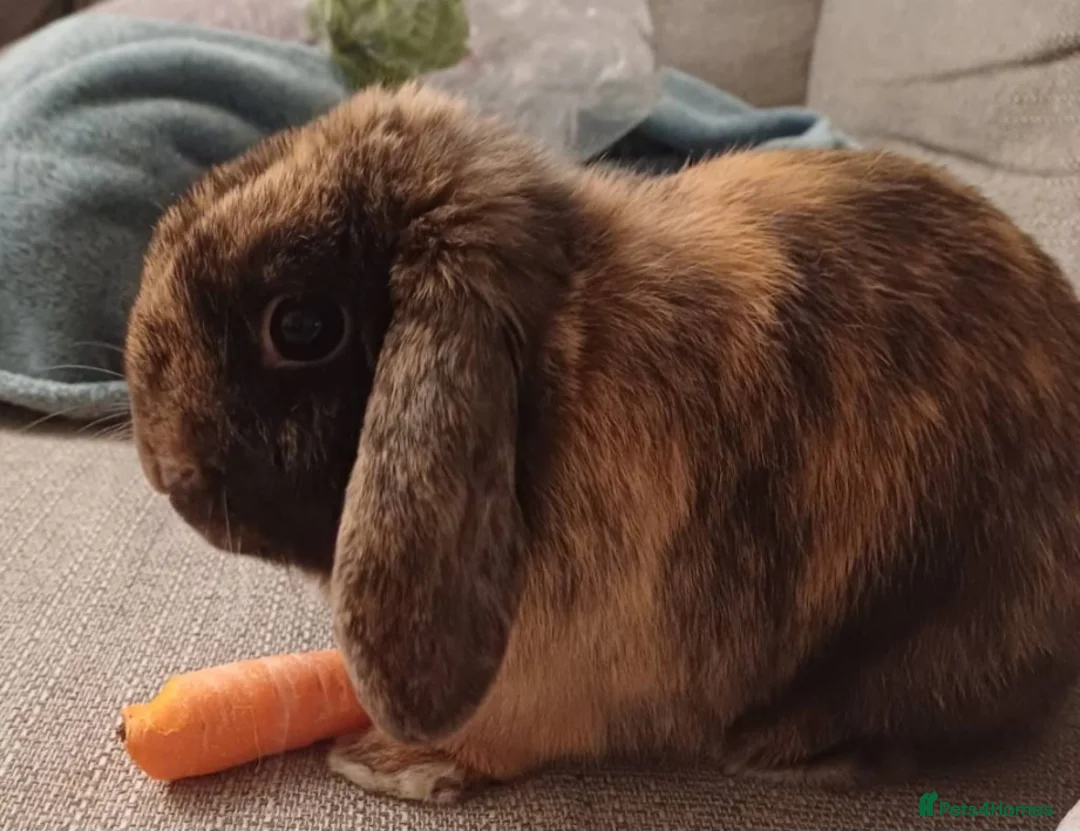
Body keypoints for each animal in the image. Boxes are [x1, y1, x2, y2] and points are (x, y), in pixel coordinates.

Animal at [125, 82, 1080, 804]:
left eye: (302, 326)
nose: (166, 472)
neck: (546, 379)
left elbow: (501, 738)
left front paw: (390, 761)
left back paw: (785, 747)